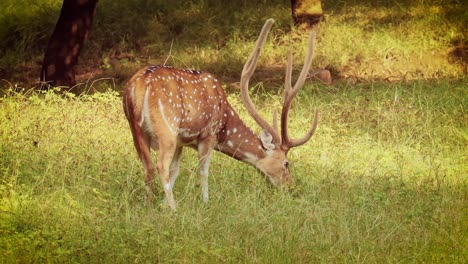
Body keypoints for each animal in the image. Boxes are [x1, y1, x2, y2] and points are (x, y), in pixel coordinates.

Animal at [122, 18, 318, 210]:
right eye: (286, 163)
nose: (291, 187)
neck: (225, 123)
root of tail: (140, 85)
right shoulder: (208, 134)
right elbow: (203, 170)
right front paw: (205, 201)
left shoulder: (181, 141)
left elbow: (175, 170)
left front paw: (162, 203)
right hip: (167, 127)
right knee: (160, 165)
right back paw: (174, 209)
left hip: (135, 129)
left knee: (148, 166)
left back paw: (148, 205)